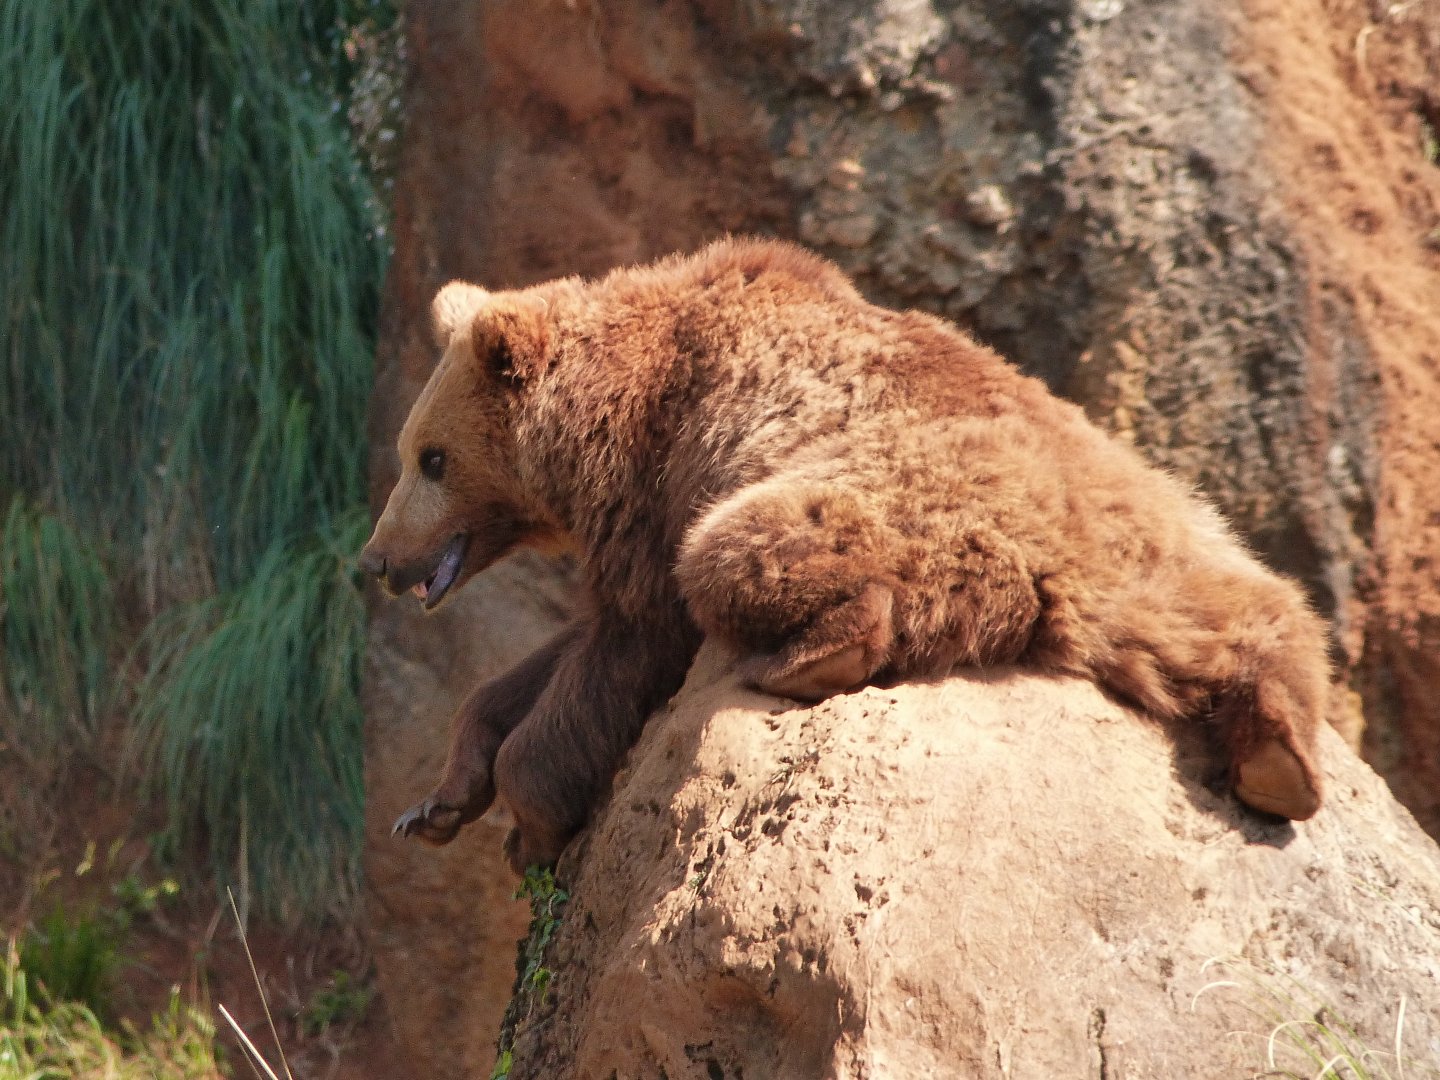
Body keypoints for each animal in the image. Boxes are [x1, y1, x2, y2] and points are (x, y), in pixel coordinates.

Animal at [358, 237, 1327, 873]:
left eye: (430, 458)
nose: (375, 560)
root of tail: (1078, 575)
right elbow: (541, 662)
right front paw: (435, 803)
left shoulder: (661, 474)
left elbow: (625, 642)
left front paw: (531, 822)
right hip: (1168, 538)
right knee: (1254, 608)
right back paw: (1281, 765)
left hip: (886, 486)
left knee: (747, 551)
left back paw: (810, 657)